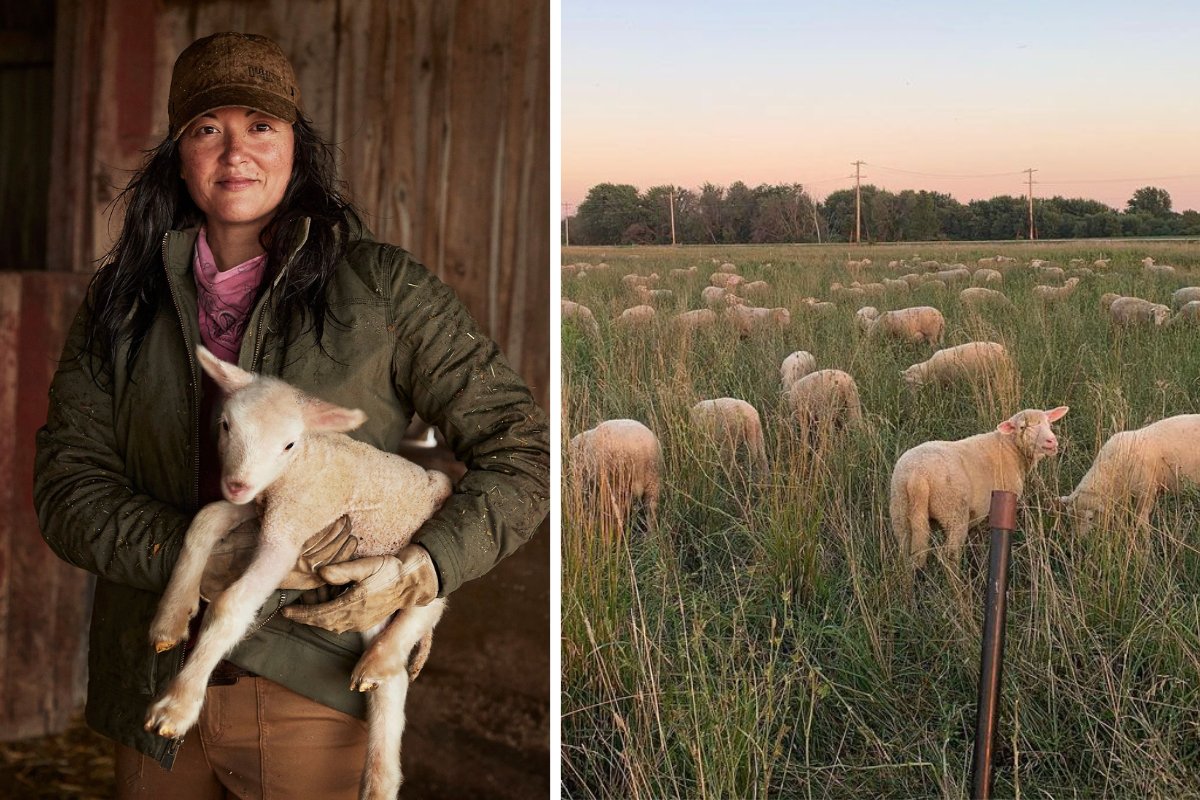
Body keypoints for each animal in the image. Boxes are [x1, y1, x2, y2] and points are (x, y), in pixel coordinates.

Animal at [146, 347, 453, 800]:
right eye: (226, 425)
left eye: (288, 443)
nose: (236, 485)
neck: (300, 464)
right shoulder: (263, 506)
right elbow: (204, 522)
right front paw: (170, 618)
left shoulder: (291, 527)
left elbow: (231, 605)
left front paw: (176, 707)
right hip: (369, 600)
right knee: (394, 682)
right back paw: (378, 776)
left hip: (409, 560)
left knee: (426, 600)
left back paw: (381, 658)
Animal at [892, 407, 1070, 568]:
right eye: (1022, 427)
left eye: (1049, 424)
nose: (1052, 441)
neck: (1010, 448)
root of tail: (917, 475)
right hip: (953, 512)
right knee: (950, 556)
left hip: (901, 511)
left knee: (905, 552)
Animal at [1060, 412, 1200, 537]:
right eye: (1070, 517)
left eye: (1090, 518)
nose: (1078, 538)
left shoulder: (1145, 491)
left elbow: (1141, 516)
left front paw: (1143, 536)